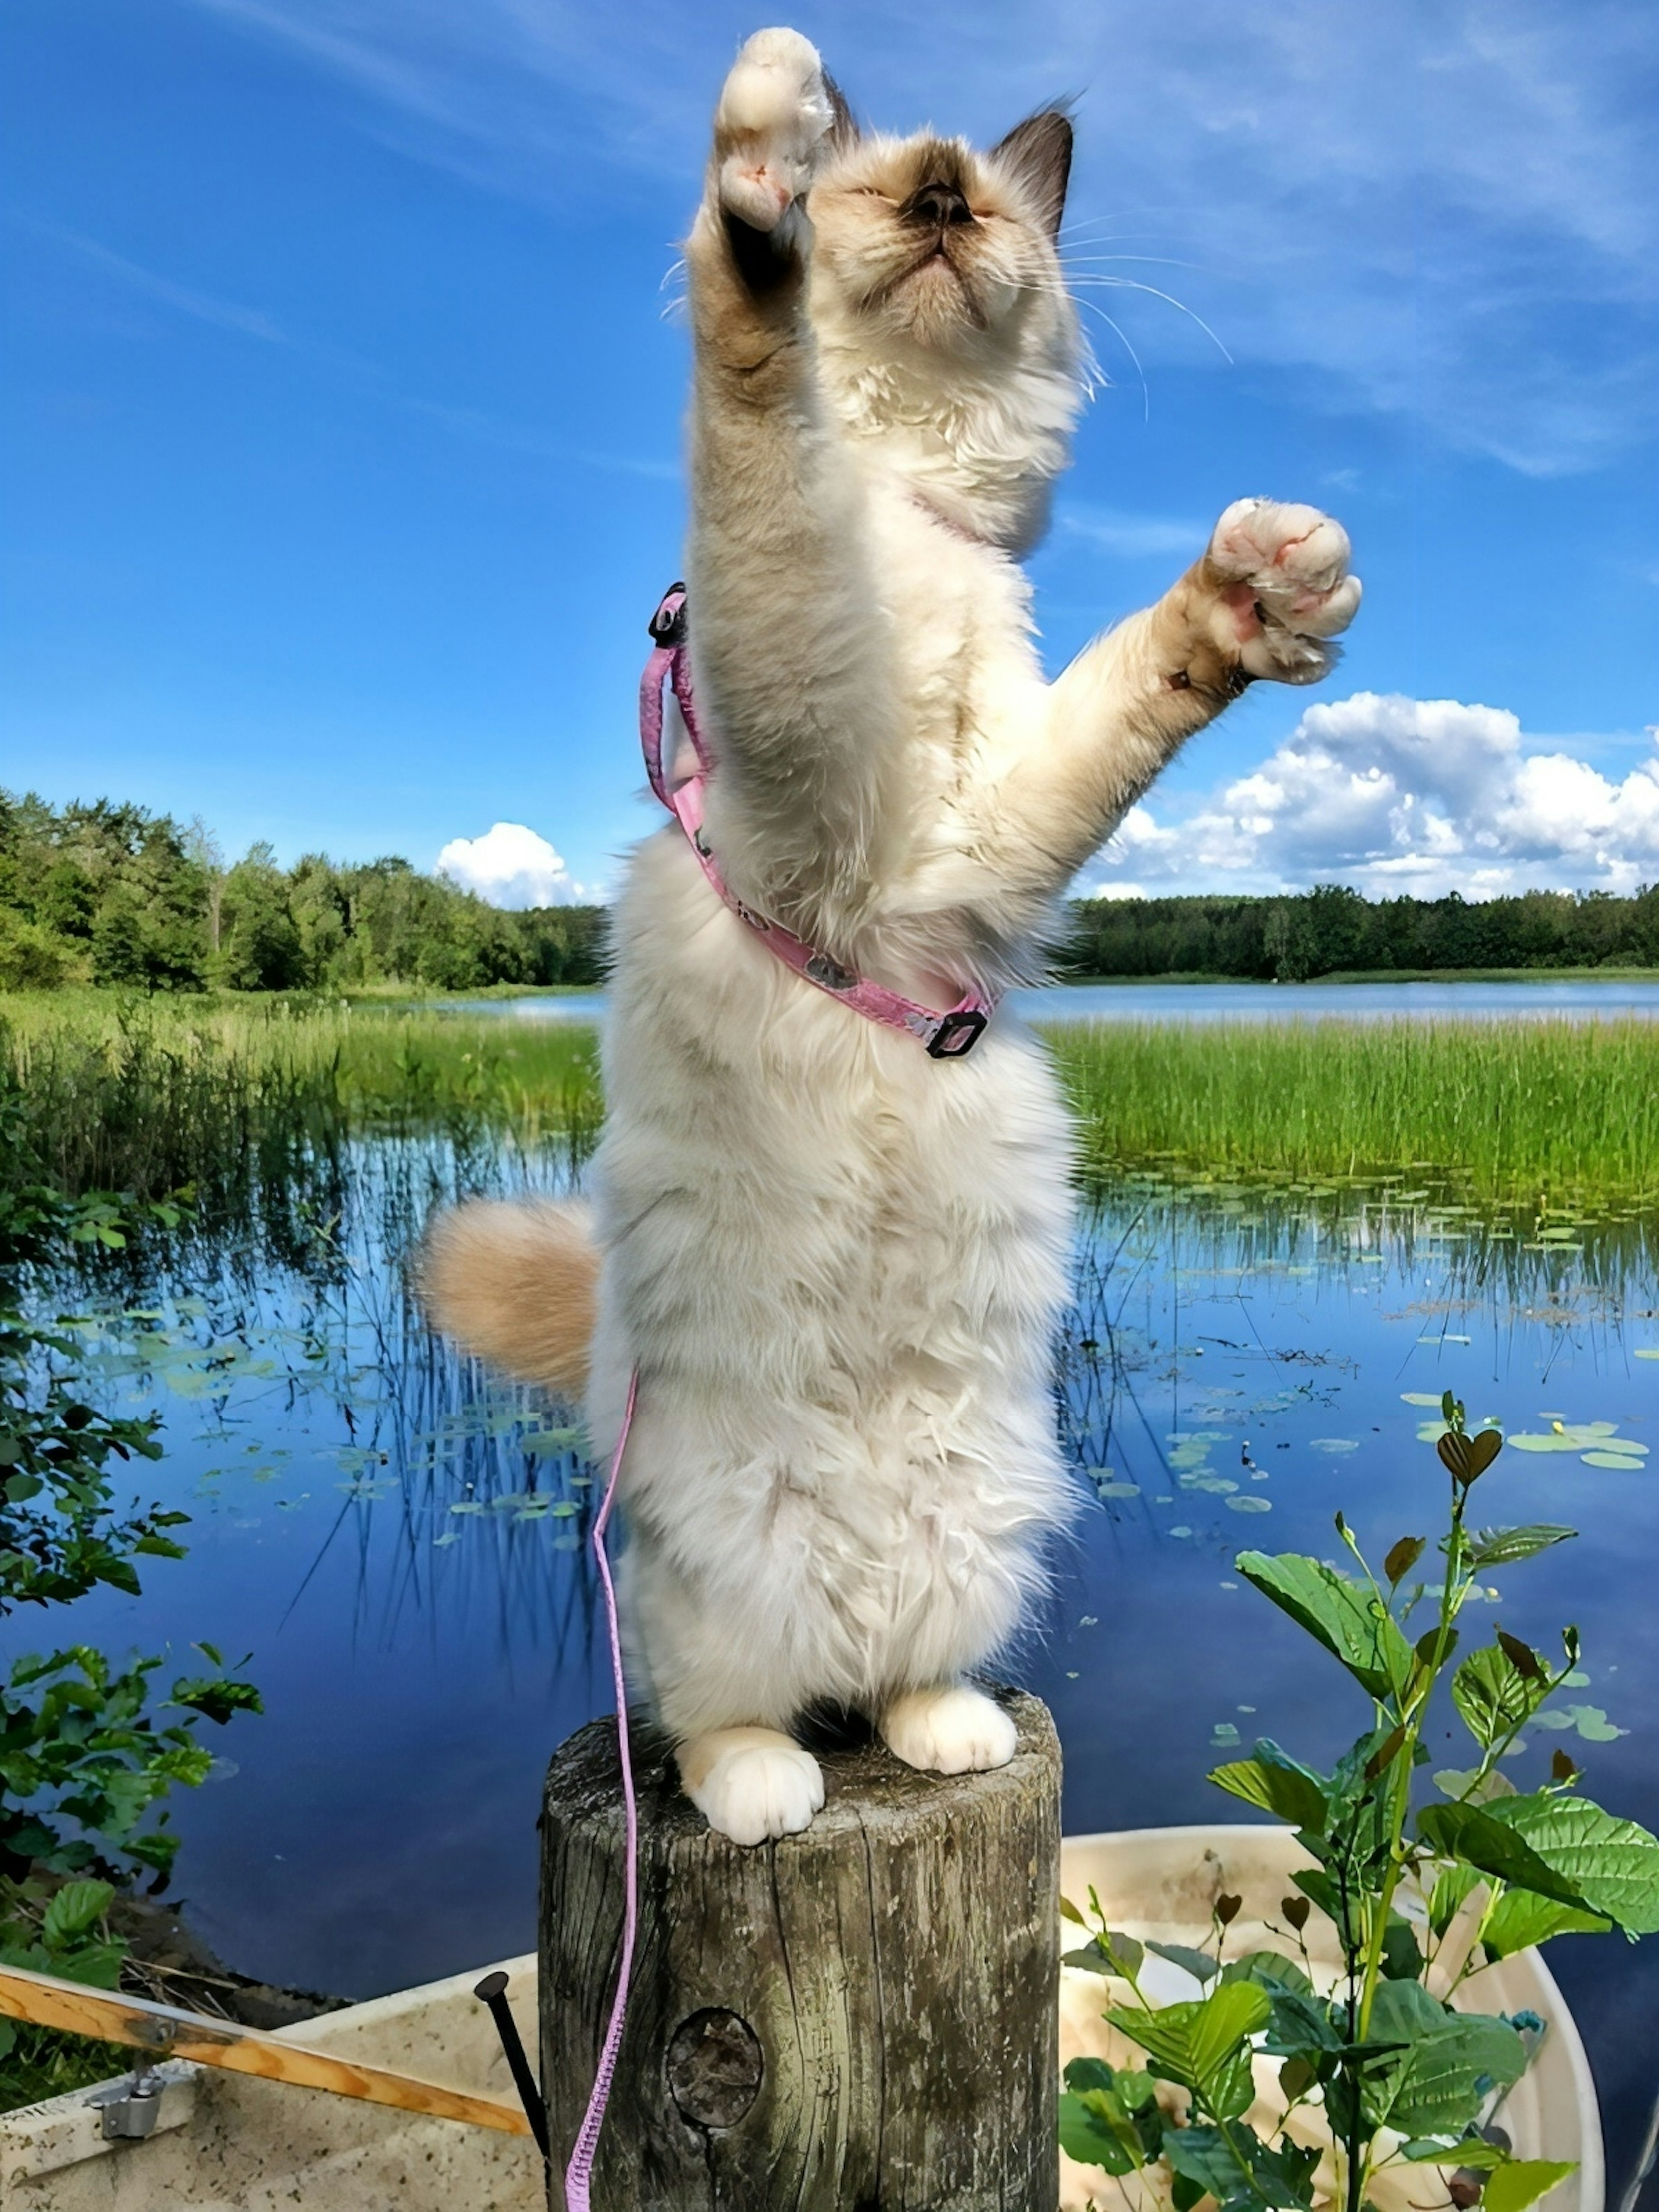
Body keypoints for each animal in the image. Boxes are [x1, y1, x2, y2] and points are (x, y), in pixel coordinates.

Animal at [425, 30, 1362, 1849]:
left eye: (977, 203)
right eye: (886, 192)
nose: (935, 201)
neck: (915, 508)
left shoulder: (976, 841)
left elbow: (1135, 693)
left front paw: (1270, 586)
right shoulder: (813, 754)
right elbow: (759, 409)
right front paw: (757, 183)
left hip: (980, 1514)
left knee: (905, 1672)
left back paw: (945, 1737)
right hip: (703, 1561)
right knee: (723, 1717)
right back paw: (770, 1792)